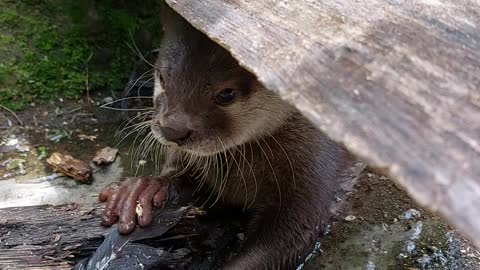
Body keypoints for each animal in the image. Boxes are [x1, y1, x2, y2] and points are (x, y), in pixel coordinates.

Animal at [98, 4, 352, 270]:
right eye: (162, 77)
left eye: (227, 94)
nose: (172, 130)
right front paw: (143, 189)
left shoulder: (312, 169)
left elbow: (291, 234)